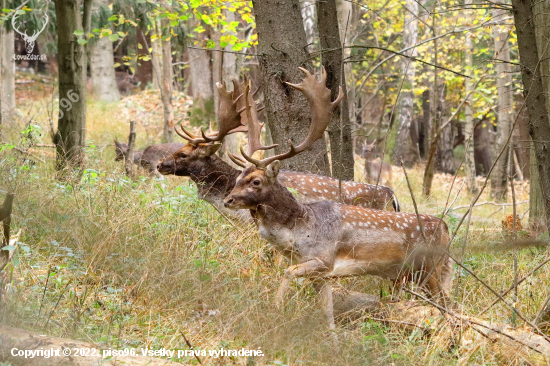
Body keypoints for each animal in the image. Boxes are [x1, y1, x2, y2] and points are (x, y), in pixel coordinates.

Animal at [224, 68, 452, 328]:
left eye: (256, 181)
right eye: (238, 176)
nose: (228, 200)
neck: (300, 230)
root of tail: (446, 228)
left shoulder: (323, 259)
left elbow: (288, 272)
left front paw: (275, 307)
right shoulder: (322, 275)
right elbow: (327, 313)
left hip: (429, 268)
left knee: (446, 304)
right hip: (427, 271)